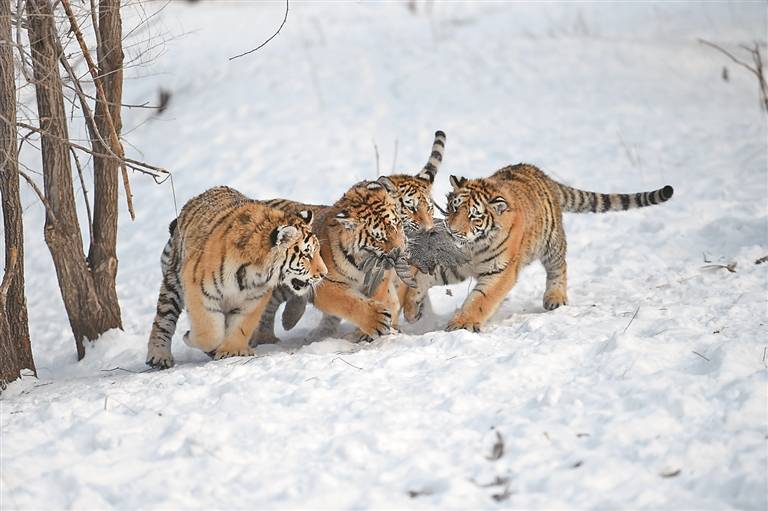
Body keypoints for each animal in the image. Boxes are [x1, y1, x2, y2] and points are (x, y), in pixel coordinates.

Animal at [146, 186, 326, 370]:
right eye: (307, 255)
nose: (323, 273)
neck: (253, 272)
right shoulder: (197, 289)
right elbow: (209, 331)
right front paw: (191, 337)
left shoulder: (254, 299)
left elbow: (241, 326)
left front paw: (231, 351)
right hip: (173, 283)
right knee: (163, 320)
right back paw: (159, 356)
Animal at [252, 130, 448, 344]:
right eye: (379, 237)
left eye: (396, 224)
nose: (400, 251)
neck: (363, 261)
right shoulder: (325, 284)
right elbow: (347, 302)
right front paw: (375, 321)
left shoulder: (382, 276)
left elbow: (385, 296)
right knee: (269, 309)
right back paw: (269, 337)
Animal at [402, 163, 672, 332]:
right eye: (454, 207)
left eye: (474, 216)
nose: (452, 231)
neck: (473, 247)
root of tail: (542, 174)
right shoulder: (455, 263)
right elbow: (423, 276)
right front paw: (412, 308)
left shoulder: (500, 272)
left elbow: (480, 299)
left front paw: (462, 323)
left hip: (551, 242)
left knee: (559, 267)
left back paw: (555, 297)